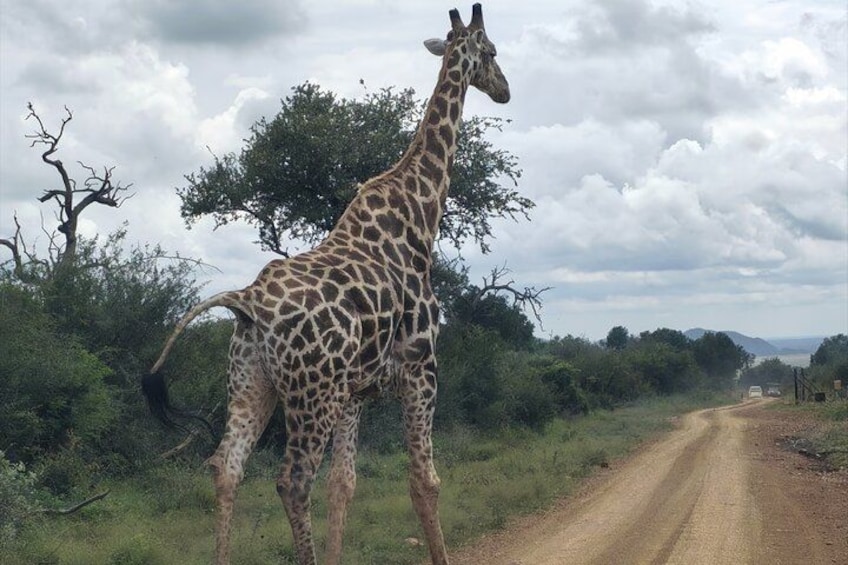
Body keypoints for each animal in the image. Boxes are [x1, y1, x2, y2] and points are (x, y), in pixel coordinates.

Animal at [142, 4, 509, 564]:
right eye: (490, 52)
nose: (505, 89)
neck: (419, 215)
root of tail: (247, 301)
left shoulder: (355, 392)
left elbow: (345, 485)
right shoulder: (422, 370)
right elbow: (424, 482)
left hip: (254, 383)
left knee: (226, 467)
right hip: (310, 395)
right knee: (292, 481)